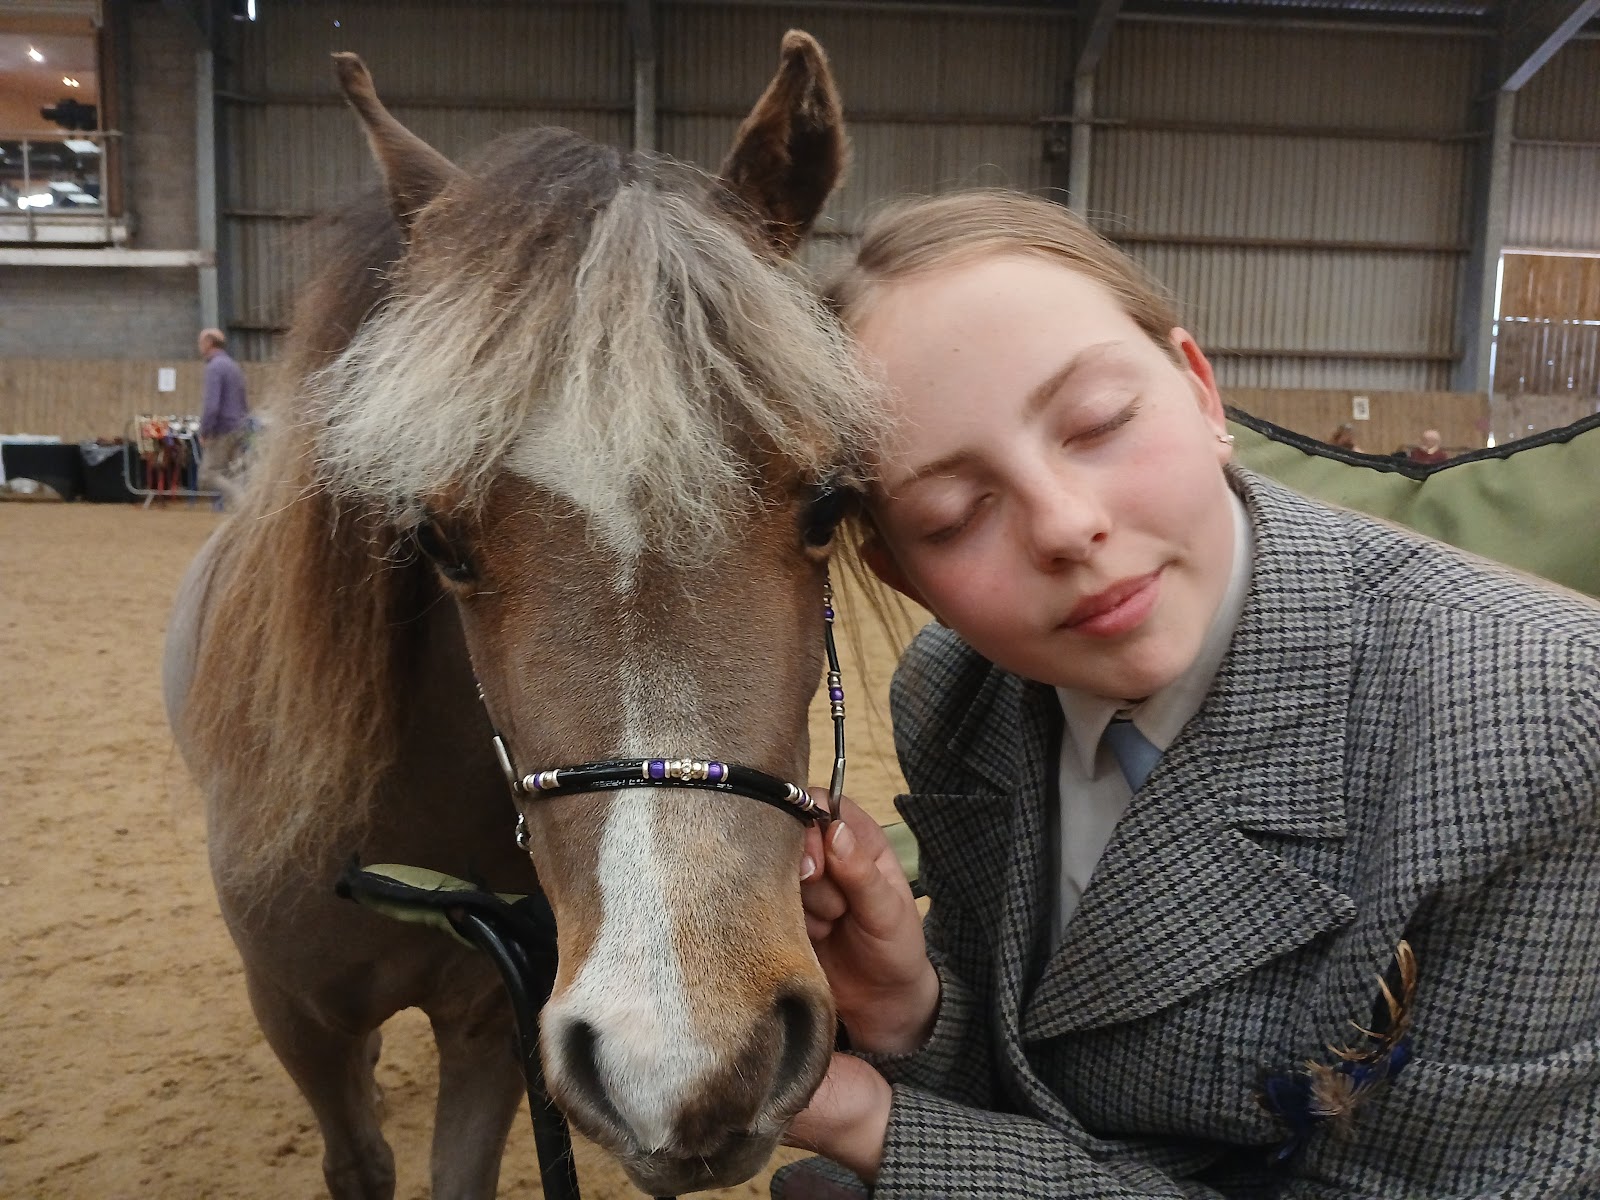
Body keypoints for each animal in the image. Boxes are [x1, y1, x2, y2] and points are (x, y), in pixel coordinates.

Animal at [162, 33, 884, 1199]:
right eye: (437, 540)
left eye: (829, 504)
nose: (688, 1065)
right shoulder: (301, 1021)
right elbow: (357, 1158)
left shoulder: (493, 1022)